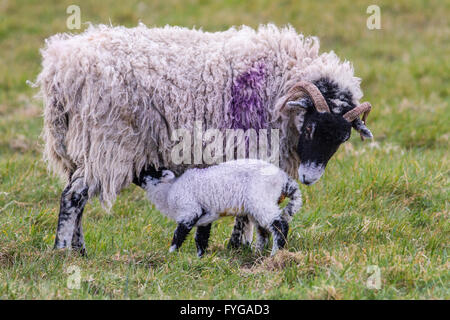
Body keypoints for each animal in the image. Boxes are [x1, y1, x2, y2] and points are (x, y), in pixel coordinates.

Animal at [141, 159, 302, 256]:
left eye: (147, 170)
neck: (168, 190)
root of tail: (284, 179)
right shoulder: (205, 215)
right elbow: (201, 237)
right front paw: (200, 257)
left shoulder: (189, 210)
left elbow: (179, 234)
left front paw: (171, 254)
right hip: (259, 205)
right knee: (263, 231)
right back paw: (258, 253)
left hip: (260, 199)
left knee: (280, 225)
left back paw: (275, 254)